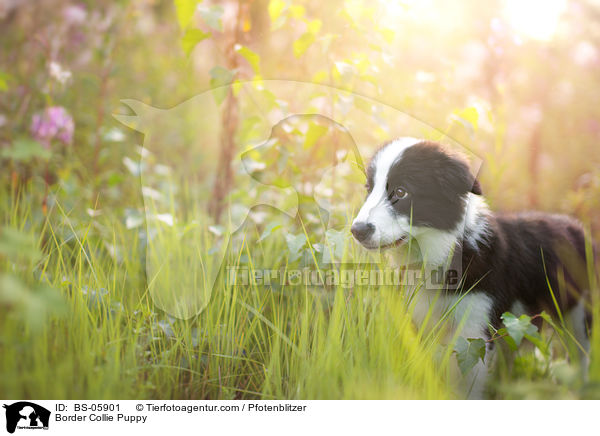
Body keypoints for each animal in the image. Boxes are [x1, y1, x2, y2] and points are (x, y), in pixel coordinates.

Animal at [352, 137, 592, 398]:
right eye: (368, 189)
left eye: (401, 192)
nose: (357, 230)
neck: (444, 251)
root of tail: (575, 226)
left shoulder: (475, 325)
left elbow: (468, 380)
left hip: (577, 310)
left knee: (580, 353)